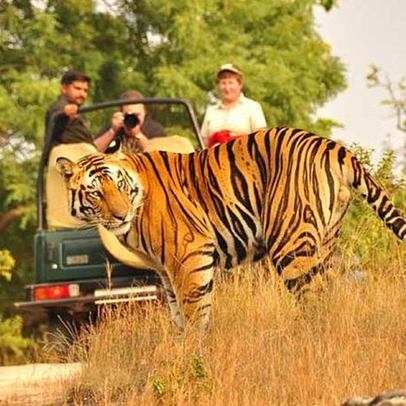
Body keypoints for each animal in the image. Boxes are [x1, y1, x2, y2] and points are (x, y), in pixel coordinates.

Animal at [55, 127, 406, 330]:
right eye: (96, 193)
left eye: (118, 185)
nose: (121, 214)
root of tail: (333, 146)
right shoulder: (165, 270)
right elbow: (179, 315)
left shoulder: (190, 254)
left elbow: (194, 313)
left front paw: (192, 359)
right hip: (325, 241)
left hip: (290, 243)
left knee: (315, 299)